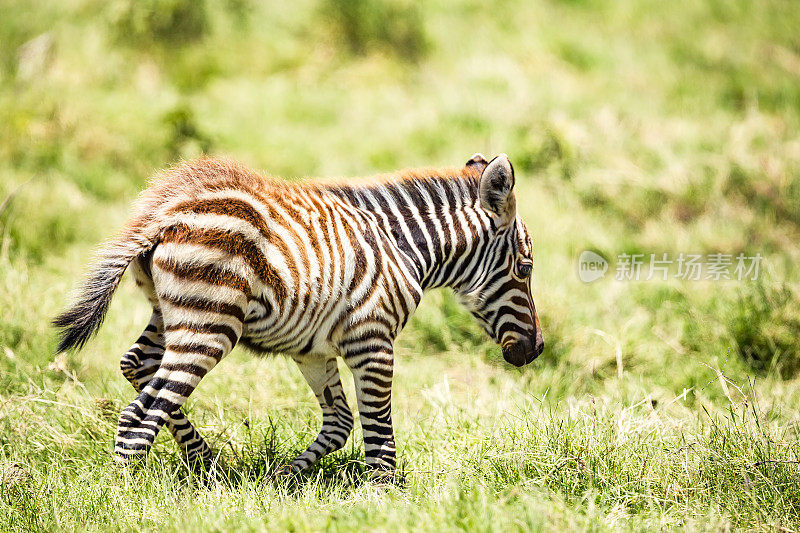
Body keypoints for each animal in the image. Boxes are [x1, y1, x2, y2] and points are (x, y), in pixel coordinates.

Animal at [53, 152, 544, 476]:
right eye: (525, 268)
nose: (536, 349)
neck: (402, 248)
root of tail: (163, 210)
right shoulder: (373, 340)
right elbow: (378, 427)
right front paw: (385, 497)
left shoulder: (314, 351)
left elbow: (340, 422)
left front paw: (284, 479)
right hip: (209, 326)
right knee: (142, 413)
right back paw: (124, 495)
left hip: (171, 316)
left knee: (137, 368)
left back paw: (210, 466)